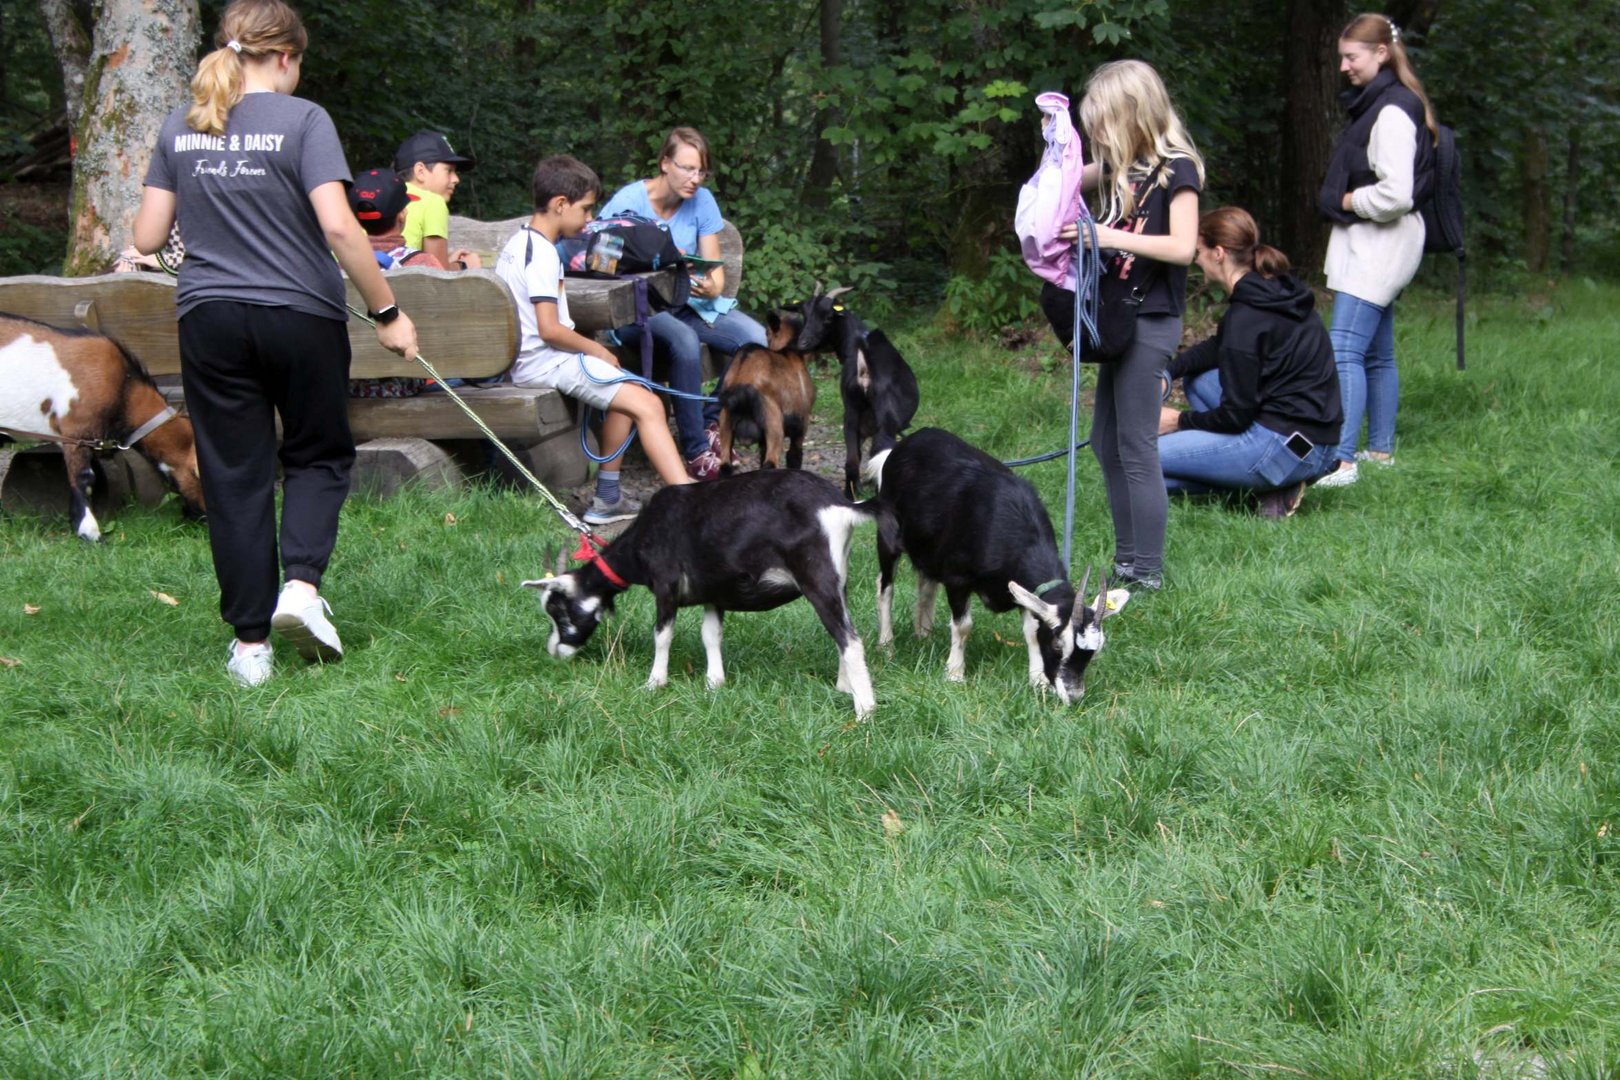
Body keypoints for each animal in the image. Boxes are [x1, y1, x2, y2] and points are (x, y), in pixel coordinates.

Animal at [524, 469, 881, 718]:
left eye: (559, 610)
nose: (555, 651)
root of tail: (839, 505)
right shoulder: (713, 593)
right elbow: (710, 635)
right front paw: (714, 683)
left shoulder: (666, 584)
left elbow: (662, 635)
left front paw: (654, 683)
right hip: (839, 578)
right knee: (842, 632)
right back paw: (843, 687)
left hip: (815, 576)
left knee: (850, 639)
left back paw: (864, 711)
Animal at [719, 310, 816, 476]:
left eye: (766, 332)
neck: (790, 352)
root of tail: (742, 381)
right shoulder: (801, 425)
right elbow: (794, 457)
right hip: (772, 420)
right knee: (770, 463)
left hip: (725, 424)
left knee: (725, 466)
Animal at [790, 286, 920, 498]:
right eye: (805, 315)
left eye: (828, 317)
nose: (802, 343)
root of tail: (865, 366)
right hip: (881, 420)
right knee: (877, 451)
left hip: (851, 412)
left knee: (852, 459)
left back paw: (851, 493)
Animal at [868, 427, 1134, 705]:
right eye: (1057, 645)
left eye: (1095, 649)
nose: (1073, 696)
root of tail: (901, 446)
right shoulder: (957, 579)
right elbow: (963, 626)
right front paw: (954, 674)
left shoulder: (1024, 589)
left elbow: (1031, 629)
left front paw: (1038, 681)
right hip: (888, 537)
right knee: (885, 587)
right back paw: (886, 645)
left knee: (926, 584)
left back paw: (924, 634)